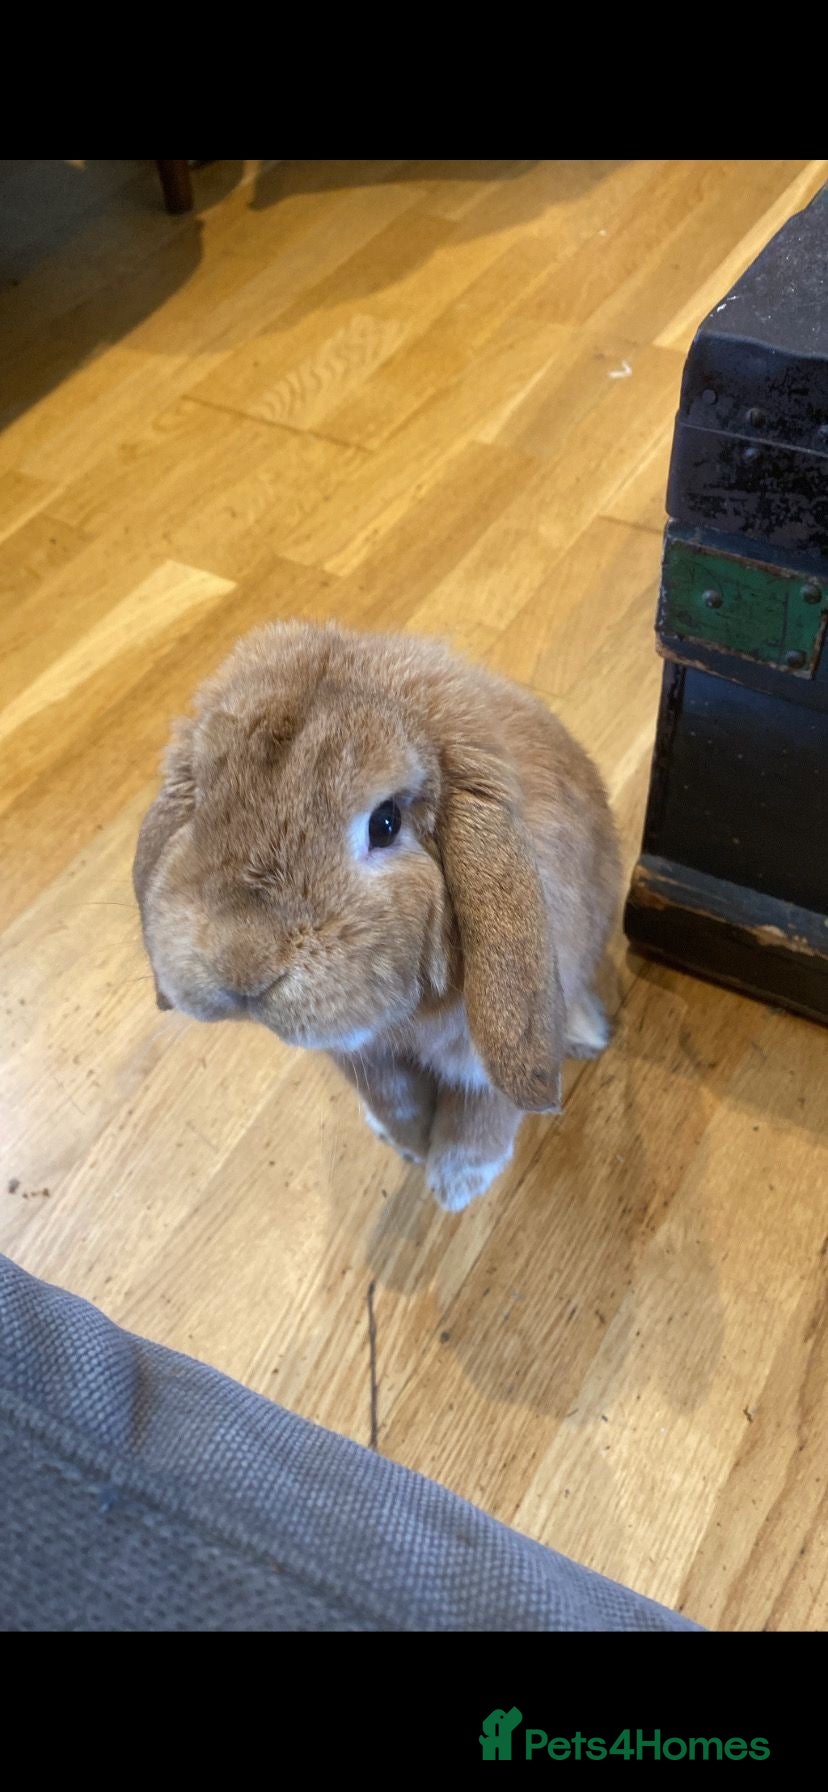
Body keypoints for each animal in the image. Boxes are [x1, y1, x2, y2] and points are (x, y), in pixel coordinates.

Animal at [133, 620, 620, 1211]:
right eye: (202, 800)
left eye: (385, 823)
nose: (241, 965)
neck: (406, 1019)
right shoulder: (364, 1055)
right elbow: (394, 1100)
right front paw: (409, 1148)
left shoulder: (480, 1054)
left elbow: (482, 1113)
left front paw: (455, 1186)